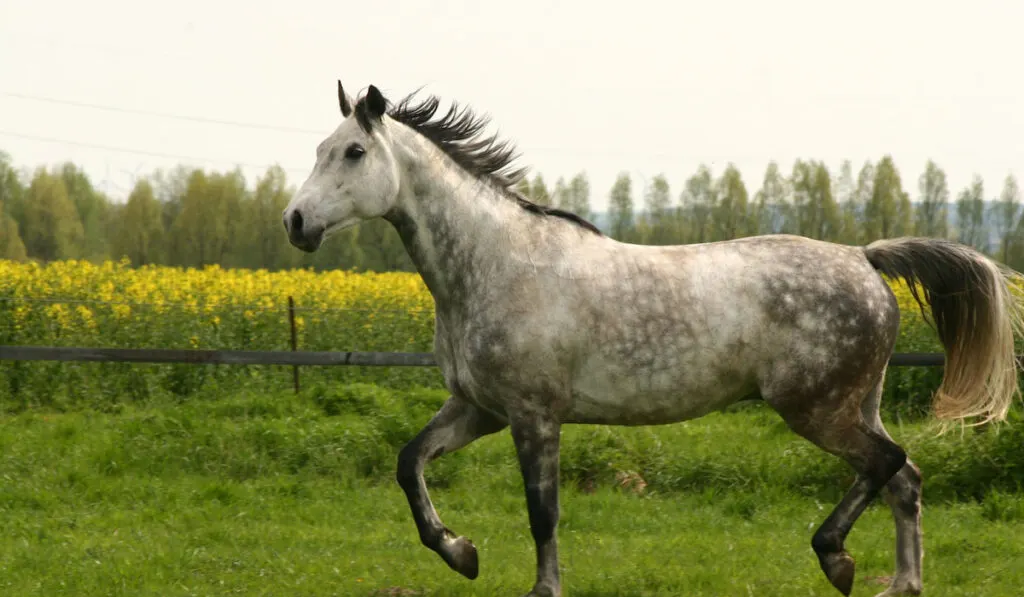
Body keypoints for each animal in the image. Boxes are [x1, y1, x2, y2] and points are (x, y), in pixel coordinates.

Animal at [280, 80, 1024, 597]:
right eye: (318, 150)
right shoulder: (479, 409)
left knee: (887, 463)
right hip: (854, 404)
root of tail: (864, 258)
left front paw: (541, 585)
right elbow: (410, 462)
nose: (295, 221)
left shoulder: (533, 416)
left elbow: (543, 513)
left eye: (353, 151)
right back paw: (899, 583)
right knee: (906, 479)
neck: (496, 263)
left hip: (817, 408)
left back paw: (835, 556)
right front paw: (461, 553)